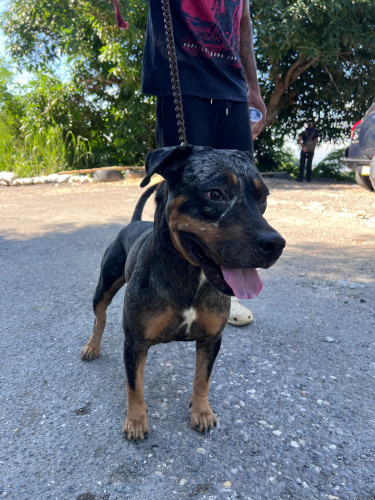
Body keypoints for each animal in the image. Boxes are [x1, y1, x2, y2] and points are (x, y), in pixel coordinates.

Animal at [81, 144, 284, 438]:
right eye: (215, 194)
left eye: (264, 198)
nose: (276, 244)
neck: (190, 275)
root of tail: (134, 223)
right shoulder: (134, 343)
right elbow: (134, 385)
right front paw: (136, 421)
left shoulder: (211, 340)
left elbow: (202, 379)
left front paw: (201, 412)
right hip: (104, 286)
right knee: (100, 318)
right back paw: (91, 346)